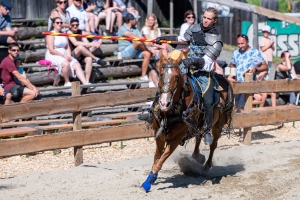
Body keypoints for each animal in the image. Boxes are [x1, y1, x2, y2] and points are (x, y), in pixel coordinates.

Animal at [141, 50, 234, 192]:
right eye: (161, 75)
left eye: (177, 77)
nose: (164, 103)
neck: (170, 112)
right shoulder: (159, 136)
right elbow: (156, 159)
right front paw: (150, 179)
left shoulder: (176, 138)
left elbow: (160, 161)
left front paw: (148, 183)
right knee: (199, 136)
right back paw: (196, 156)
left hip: (219, 124)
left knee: (213, 144)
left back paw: (206, 166)